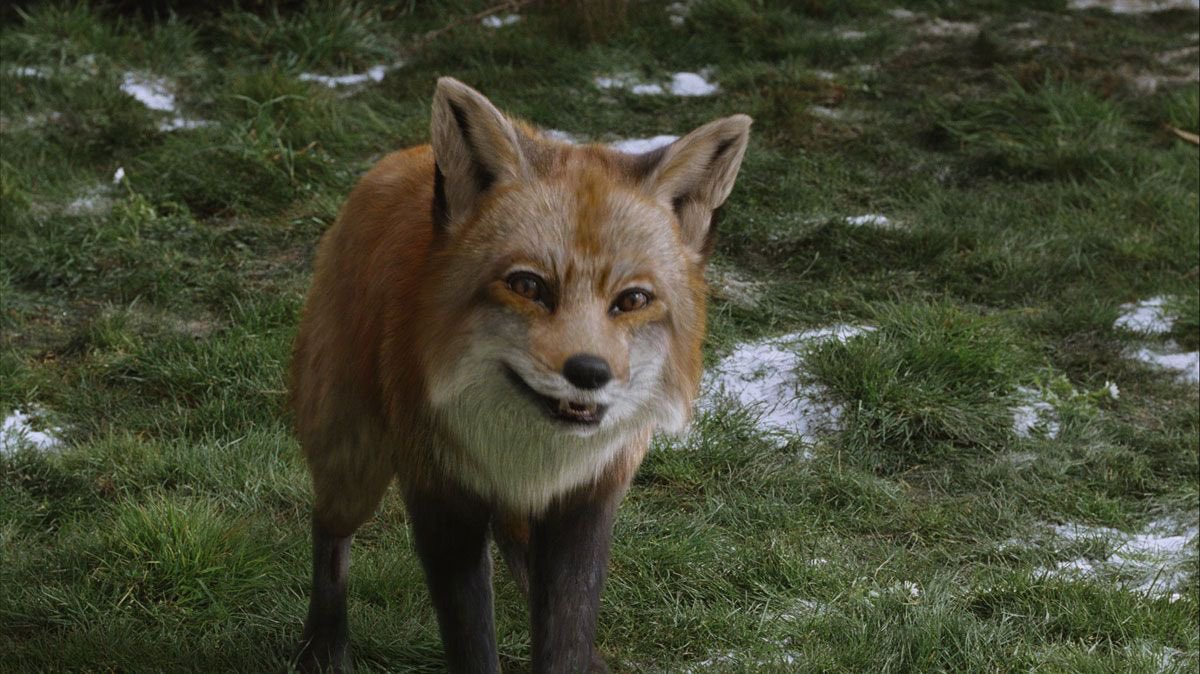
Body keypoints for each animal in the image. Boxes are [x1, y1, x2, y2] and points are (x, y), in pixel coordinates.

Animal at [289, 76, 751, 673]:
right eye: (528, 286)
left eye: (632, 300)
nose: (589, 372)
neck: (530, 459)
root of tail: (407, 153)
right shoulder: (441, 496)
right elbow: (472, 645)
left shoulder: (588, 498)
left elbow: (565, 633)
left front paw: (576, 655)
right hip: (354, 460)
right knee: (328, 525)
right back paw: (322, 644)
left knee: (517, 545)